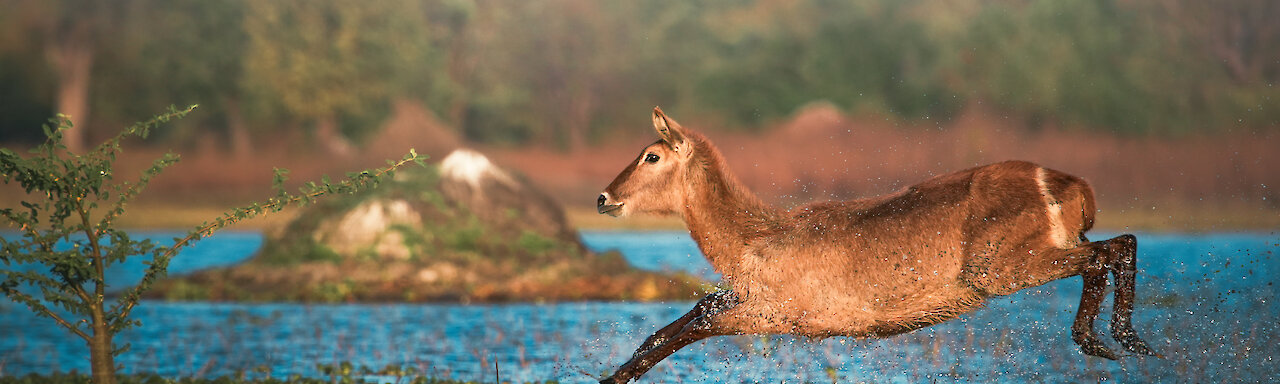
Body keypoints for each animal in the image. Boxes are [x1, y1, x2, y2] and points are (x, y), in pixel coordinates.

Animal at [593, 106, 1167, 381]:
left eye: (650, 155)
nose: (603, 198)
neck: (755, 237)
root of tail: (1069, 183)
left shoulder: (775, 313)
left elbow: (684, 331)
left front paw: (614, 378)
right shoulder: (745, 297)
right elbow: (676, 322)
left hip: (1006, 269)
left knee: (1105, 254)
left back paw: (1105, 340)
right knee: (1118, 245)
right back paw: (1125, 342)